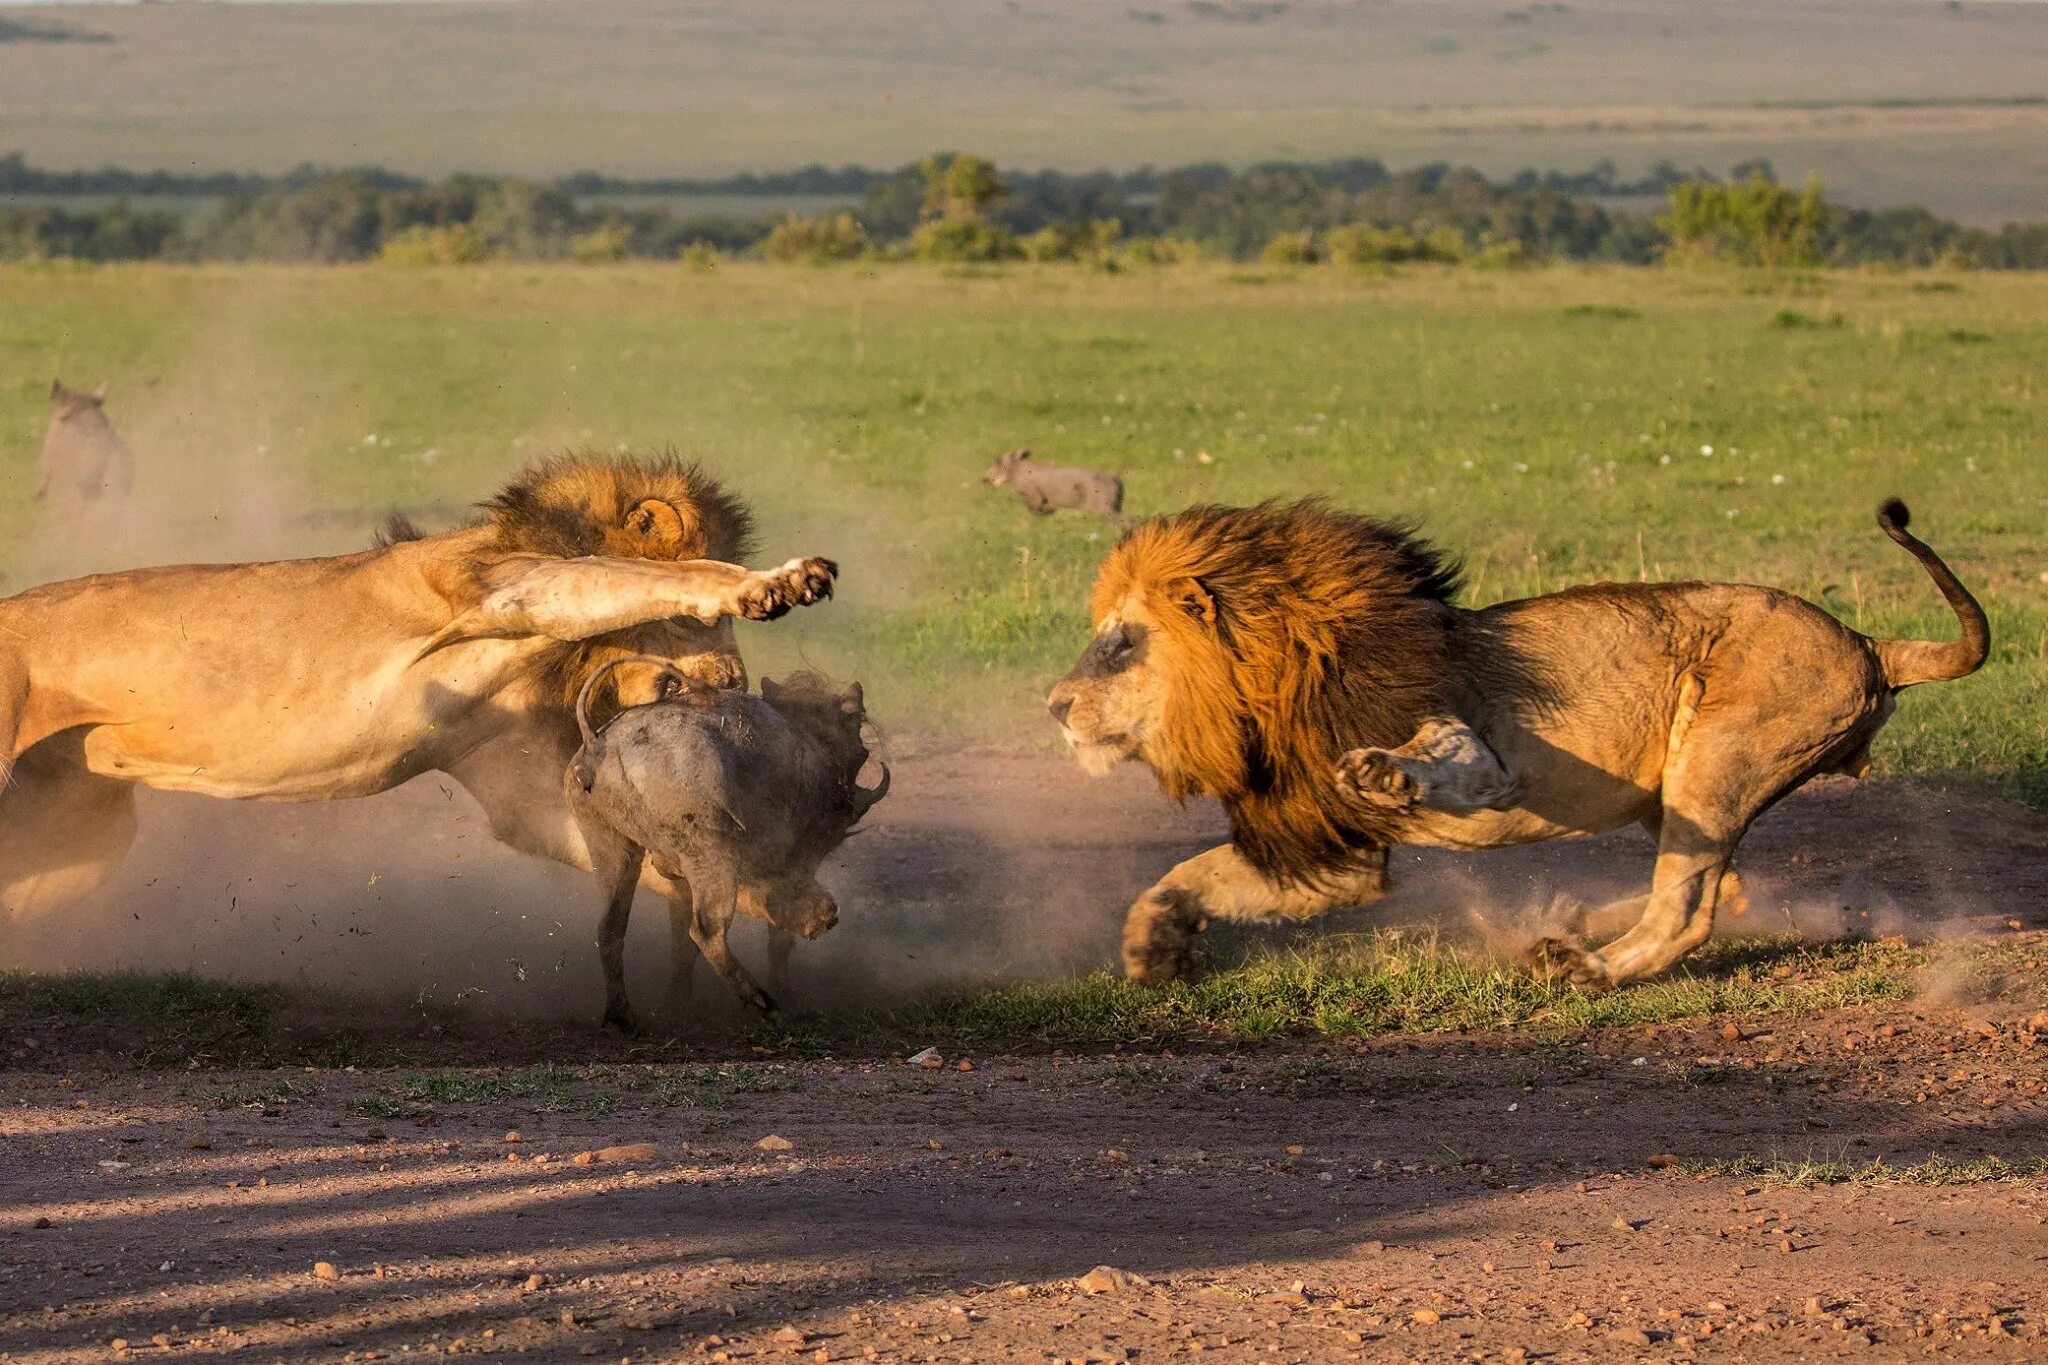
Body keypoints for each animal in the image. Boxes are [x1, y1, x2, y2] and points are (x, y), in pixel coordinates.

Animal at [2, 454, 831, 1010]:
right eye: (704, 626)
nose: (735, 679)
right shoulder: (514, 588)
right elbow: (642, 575)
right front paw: (776, 581)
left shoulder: (513, 784)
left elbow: (637, 854)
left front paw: (789, 896)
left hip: (78, 843)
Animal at [1040, 497, 1982, 986]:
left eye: (1122, 642)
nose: (1052, 704)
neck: (1269, 688)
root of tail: (1868, 642)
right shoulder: (1331, 847)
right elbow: (1186, 874)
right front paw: (1151, 946)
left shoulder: (1473, 751)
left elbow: (1447, 762)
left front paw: (1390, 773)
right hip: (1678, 794)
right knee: (1725, 891)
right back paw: (1567, 925)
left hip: (1716, 760)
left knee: (1687, 912)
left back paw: (1588, 967)